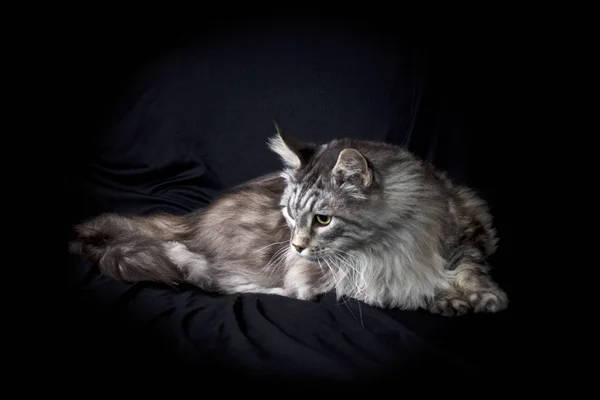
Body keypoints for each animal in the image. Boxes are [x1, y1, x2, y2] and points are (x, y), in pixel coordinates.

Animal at [69, 123, 510, 318]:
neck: (403, 239)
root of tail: (194, 217)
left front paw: (479, 295)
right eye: (290, 214)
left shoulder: (467, 226)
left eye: (323, 219)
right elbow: (399, 288)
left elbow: (470, 268)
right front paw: (444, 298)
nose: (296, 245)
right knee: (197, 265)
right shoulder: (360, 277)